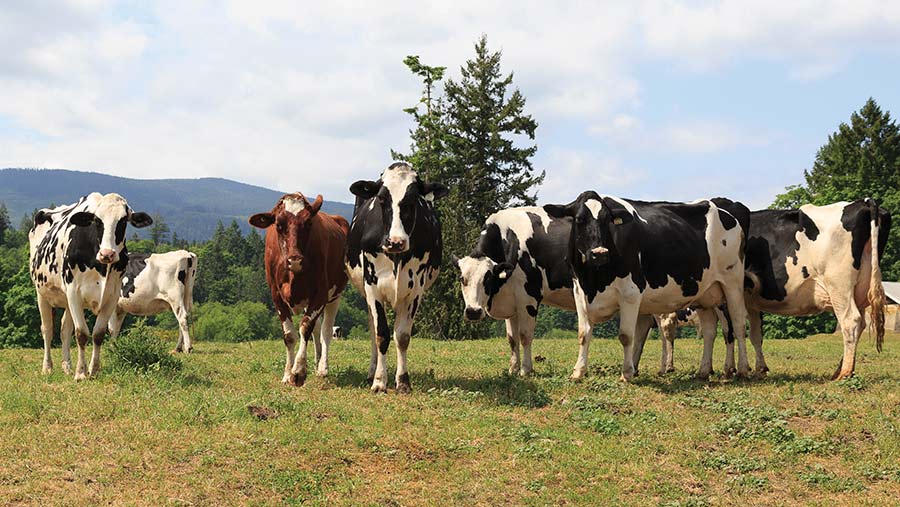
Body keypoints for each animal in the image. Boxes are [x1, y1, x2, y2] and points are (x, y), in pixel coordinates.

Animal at [28, 192, 151, 380]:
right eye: (97, 221)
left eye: (123, 221)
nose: (107, 254)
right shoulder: (74, 292)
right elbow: (81, 333)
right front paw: (80, 373)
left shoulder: (111, 296)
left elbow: (98, 334)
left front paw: (93, 370)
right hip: (41, 292)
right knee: (47, 329)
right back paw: (47, 367)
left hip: (66, 300)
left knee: (64, 329)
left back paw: (67, 367)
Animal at [253, 192, 356, 386]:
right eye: (278, 224)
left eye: (308, 223)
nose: (295, 260)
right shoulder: (276, 295)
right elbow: (290, 335)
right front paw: (287, 373)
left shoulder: (320, 293)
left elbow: (305, 327)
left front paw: (299, 371)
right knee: (317, 330)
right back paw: (316, 362)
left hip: (335, 295)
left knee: (325, 330)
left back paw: (322, 368)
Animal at [346, 162, 448, 392]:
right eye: (382, 199)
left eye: (413, 200)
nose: (396, 241)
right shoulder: (373, 287)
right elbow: (381, 334)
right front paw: (379, 381)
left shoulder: (415, 290)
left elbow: (402, 336)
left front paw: (402, 381)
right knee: (373, 329)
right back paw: (371, 372)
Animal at [544, 193, 748, 380]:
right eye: (579, 219)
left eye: (607, 220)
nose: (600, 253)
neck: (593, 281)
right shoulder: (579, 291)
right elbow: (583, 334)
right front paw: (578, 372)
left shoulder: (630, 293)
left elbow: (626, 336)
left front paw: (627, 373)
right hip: (705, 294)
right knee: (709, 331)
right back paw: (704, 371)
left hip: (732, 285)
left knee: (737, 326)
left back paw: (742, 369)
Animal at [736, 200, 888, 380]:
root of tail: (864, 202)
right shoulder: (751, 300)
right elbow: (755, 334)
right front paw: (761, 369)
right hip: (859, 289)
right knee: (861, 324)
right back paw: (841, 370)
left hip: (839, 286)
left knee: (851, 321)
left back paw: (844, 373)